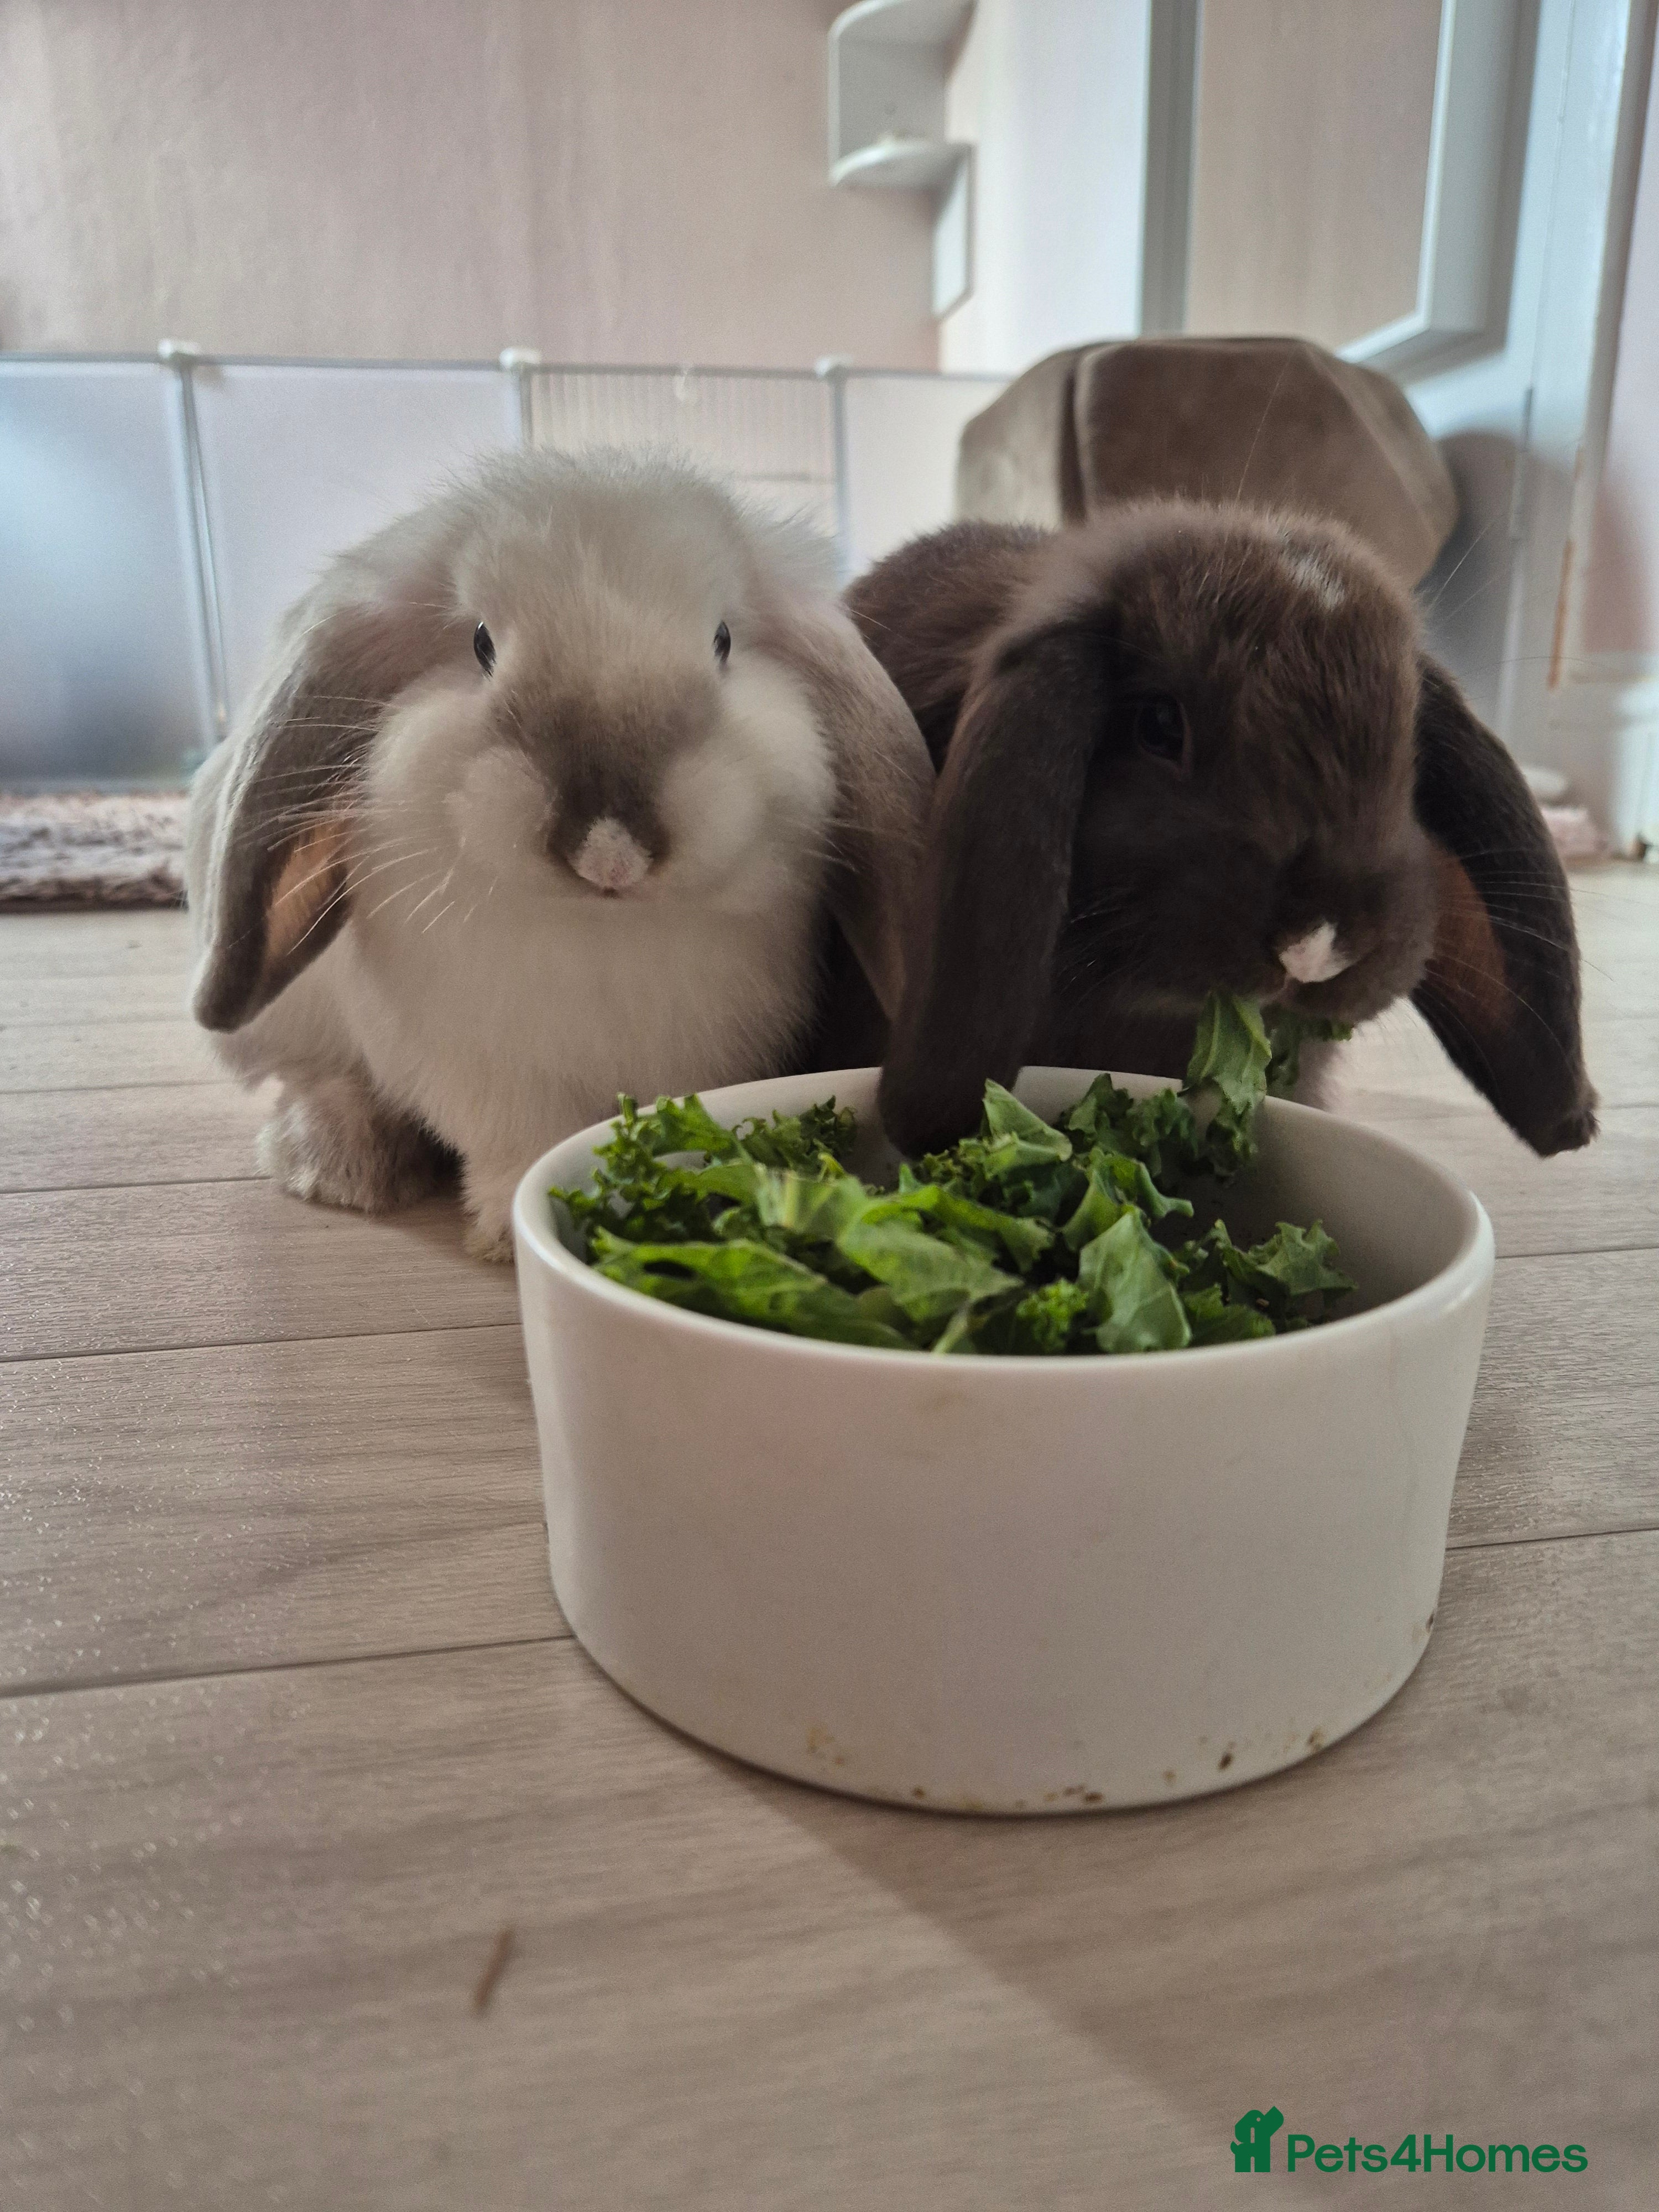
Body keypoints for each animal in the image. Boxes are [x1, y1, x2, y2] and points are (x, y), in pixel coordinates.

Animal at [186, 448, 934, 1258]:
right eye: (482, 644)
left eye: (724, 641)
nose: (610, 851)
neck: (603, 931)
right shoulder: (497, 1081)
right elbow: (520, 1151)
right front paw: (513, 1233)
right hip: (282, 1022)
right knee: (312, 1078)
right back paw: (343, 1159)